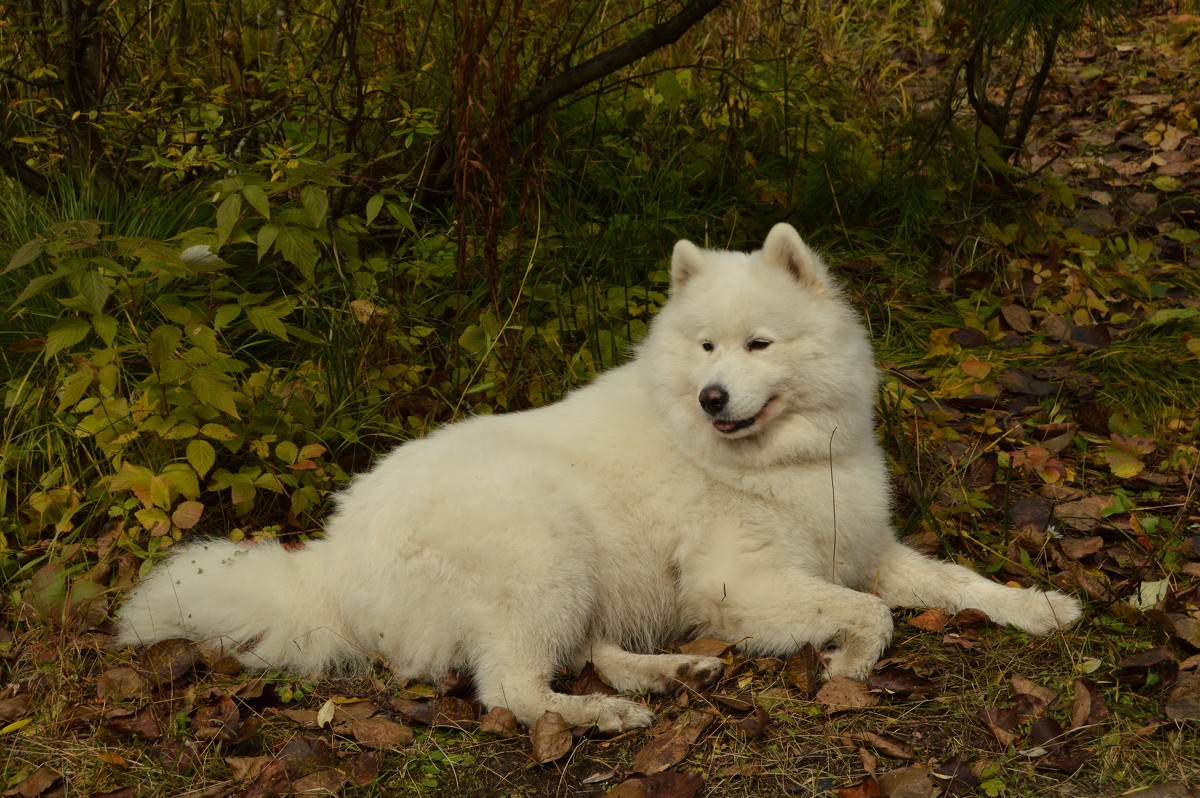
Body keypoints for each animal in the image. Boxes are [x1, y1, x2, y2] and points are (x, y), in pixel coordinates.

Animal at [117, 222, 1084, 729]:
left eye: (757, 345)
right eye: (705, 347)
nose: (712, 396)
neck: (785, 457)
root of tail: (330, 561)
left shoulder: (864, 547)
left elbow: (956, 581)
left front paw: (1039, 607)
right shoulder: (740, 585)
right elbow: (869, 612)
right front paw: (849, 660)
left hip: (583, 570)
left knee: (578, 654)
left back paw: (669, 675)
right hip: (544, 544)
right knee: (511, 688)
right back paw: (605, 713)